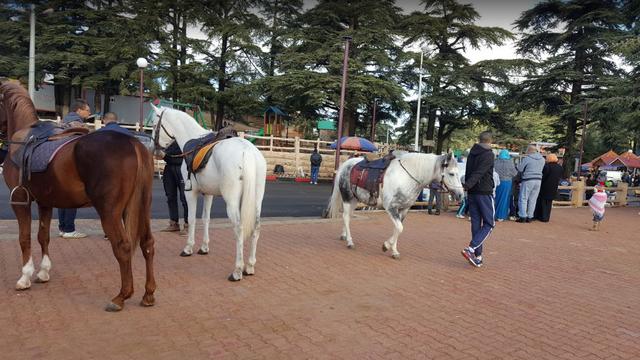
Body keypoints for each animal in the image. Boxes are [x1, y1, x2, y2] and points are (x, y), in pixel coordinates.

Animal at [0, 82, 155, 312]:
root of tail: (133, 144)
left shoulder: (20, 201)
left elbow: (24, 238)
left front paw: (24, 277)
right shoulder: (45, 204)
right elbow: (43, 236)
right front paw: (43, 272)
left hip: (110, 212)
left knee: (123, 247)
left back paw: (121, 296)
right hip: (141, 208)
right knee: (147, 244)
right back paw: (148, 294)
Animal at [151, 105, 266, 280]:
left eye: (153, 124)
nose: (155, 151)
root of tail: (247, 151)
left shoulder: (190, 193)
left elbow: (191, 219)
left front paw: (188, 248)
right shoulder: (208, 194)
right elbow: (206, 219)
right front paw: (204, 248)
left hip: (231, 202)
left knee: (239, 229)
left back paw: (237, 270)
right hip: (257, 199)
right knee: (256, 227)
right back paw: (250, 266)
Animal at [328, 152, 462, 258]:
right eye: (451, 173)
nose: (460, 194)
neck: (406, 177)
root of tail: (346, 165)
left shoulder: (404, 209)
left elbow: (397, 228)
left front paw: (394, 251)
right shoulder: (391, 207)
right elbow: (400, 228)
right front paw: (386, 246)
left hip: (355, 199)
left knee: (348, 216)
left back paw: (344, 235)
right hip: (347, 198)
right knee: (346, 217)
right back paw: (350, 242)